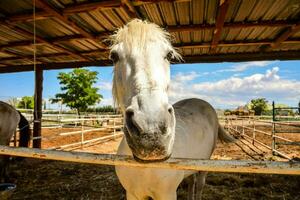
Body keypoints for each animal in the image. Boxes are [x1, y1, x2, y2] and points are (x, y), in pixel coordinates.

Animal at [110, 19, 234, 200]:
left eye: (169, 55)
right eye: (114, 56)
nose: (151, 130)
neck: (148, 168)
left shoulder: (167, 194)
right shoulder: (133, 194)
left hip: (205, 164)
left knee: (200, 185)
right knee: (191, 182)